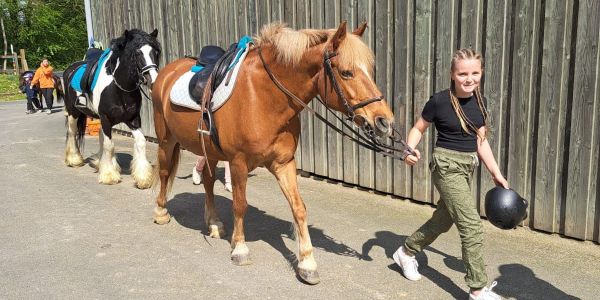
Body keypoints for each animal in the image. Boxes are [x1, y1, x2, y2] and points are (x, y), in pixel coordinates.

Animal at [151, 21, 394, 284]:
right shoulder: (238, 163)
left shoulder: (284, 163)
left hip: (210, 150)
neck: (262, 97)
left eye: (370, 70)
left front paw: (307, 263)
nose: (384, 122)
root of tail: (166, 73)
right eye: (347, 72)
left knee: (207, 179)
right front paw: (240, 249)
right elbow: (240, 204)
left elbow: (299, 208)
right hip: (166, 141)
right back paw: (161, 212)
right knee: (164, 173)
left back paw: (214, 223)